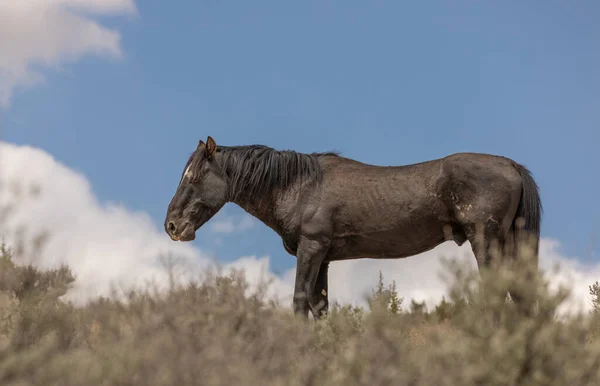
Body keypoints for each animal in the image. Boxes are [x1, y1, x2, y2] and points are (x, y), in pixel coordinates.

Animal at [165, 136, 544, 320]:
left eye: (194, 176)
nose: (172, 225)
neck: (299, 185)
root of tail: (511, 166)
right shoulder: (324, 258)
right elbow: (320, 306)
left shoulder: (311, 248)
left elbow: (299, 301)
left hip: (486, 243)